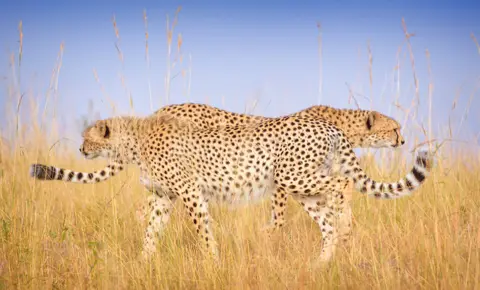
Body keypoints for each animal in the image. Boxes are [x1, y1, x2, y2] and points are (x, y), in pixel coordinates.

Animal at [30, 111, 436, 262]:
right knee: (329, 223)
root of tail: (325, 124)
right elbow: (151, 229)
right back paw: (322, 264)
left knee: (341, 187)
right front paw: (144, 262)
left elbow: (202, 230)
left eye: (87, 137)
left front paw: (213, 261)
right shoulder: (163, 197)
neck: (135, 139)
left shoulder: (189, 193)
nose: (81, 148)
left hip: (295, 177)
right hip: (301, 189)